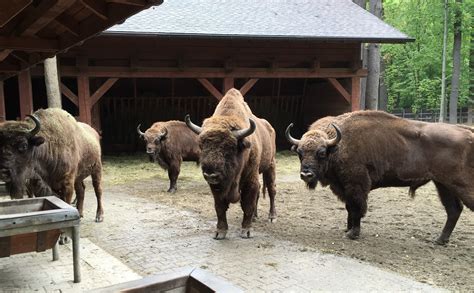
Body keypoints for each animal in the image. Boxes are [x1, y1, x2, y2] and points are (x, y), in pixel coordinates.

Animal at [184, 88, 276, 238]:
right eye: (202, 145)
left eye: (230, 147)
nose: (210, 174)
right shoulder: (216, 186)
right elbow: (220, 207)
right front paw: (220, 232)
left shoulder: (250, 179)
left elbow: (247, 204)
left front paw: (246, 231)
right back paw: (255, 217)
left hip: (271, 165)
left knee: (272, 189)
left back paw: (272, 217)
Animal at [286, 110, 474, 243]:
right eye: (300, 153)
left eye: (321, 152)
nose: (306, 174)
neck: (337, 145)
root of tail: (467, 132)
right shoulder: (344, 187)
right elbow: (349, 208)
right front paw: (347, 230)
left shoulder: (356, 185)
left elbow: (357, 208)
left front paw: (353, 233)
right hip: (443, 184)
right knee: (453, 210)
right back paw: (440, 240)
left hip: (460, 184)